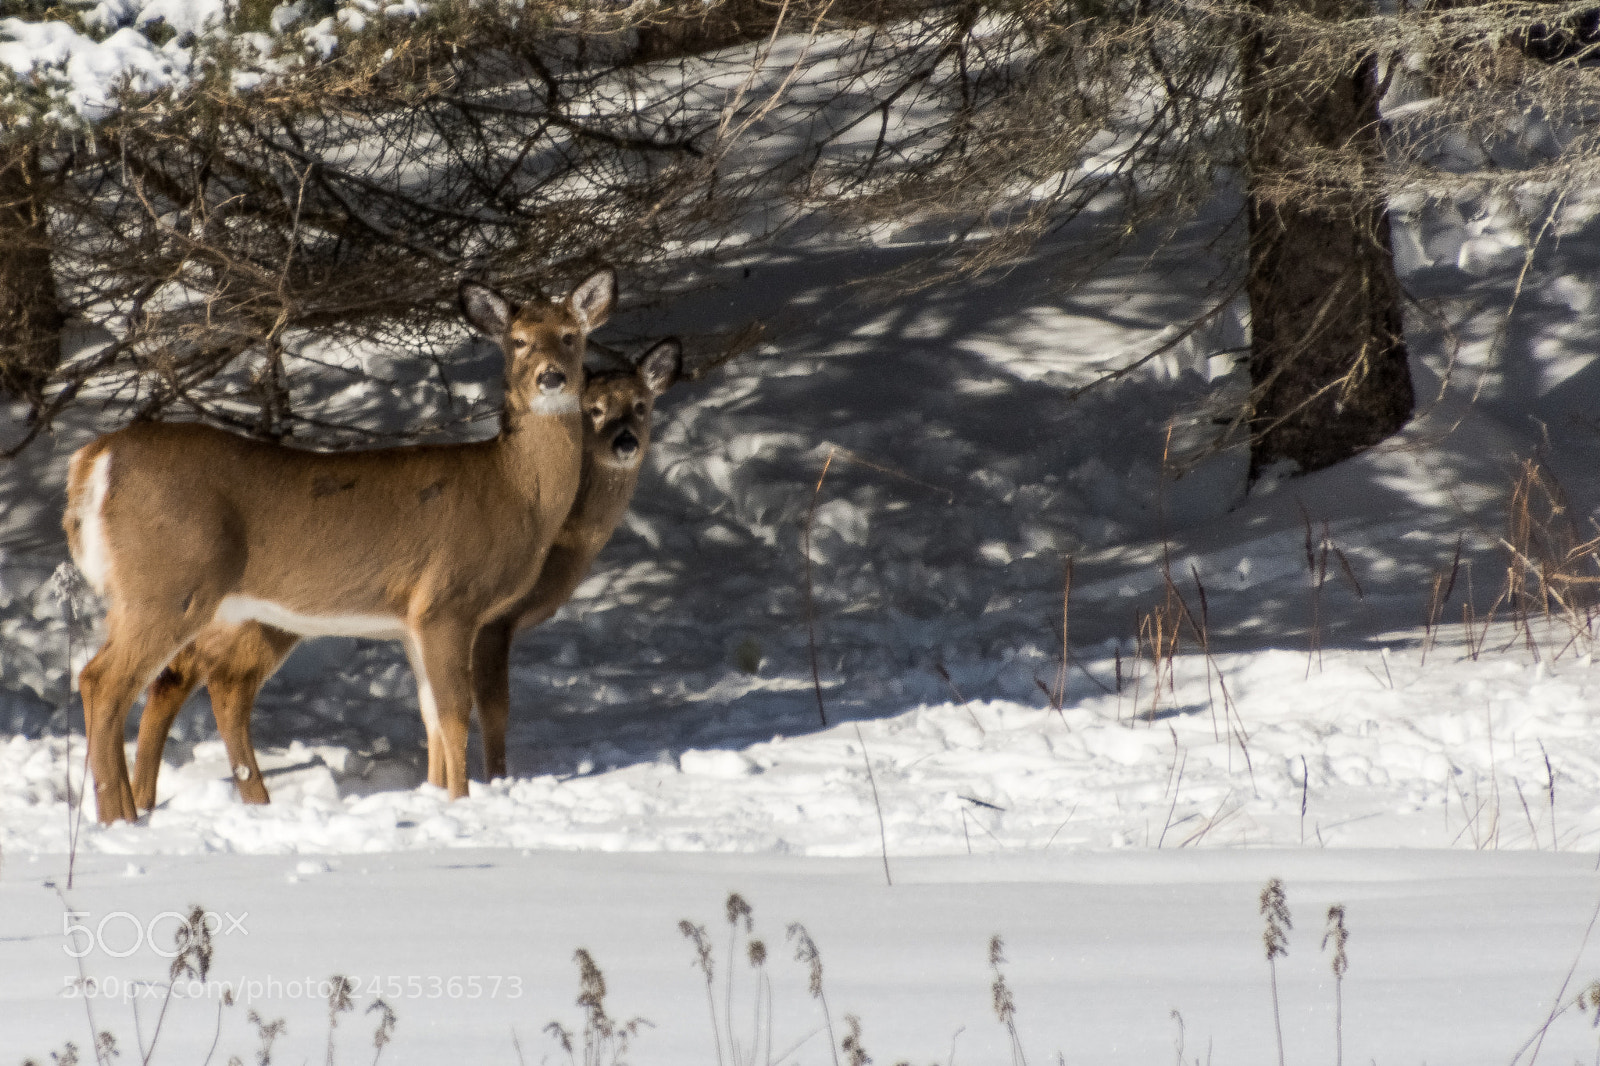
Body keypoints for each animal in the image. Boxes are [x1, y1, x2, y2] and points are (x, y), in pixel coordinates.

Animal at [62, 269, 616, 823]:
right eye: (518, 341)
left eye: (571, 336)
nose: (551, 377)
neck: (514, 492)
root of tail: (92, 460)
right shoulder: (449, 601)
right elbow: (457, 714)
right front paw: (459, 803)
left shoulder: (413, 619)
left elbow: (431, 718)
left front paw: (434, 796)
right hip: (168, 585)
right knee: (103, 682)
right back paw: (119, 817)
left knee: (181, 684)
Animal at [123, 338, 683, 808]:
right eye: (593, 410)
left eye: (641, 405)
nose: (625, 442)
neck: (562, 540)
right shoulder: (488, 621)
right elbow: (492, 707)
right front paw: (494, 781)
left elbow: (434, 711)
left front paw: (437, 789)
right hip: (258, 618)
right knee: (206, 680)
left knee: (186, 678)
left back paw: (156, 799)